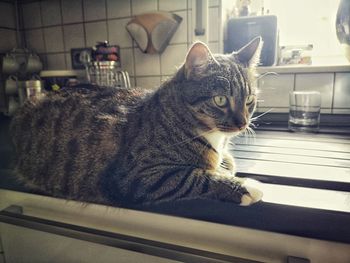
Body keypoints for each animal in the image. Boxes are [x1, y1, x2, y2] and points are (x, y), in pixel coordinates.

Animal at [10, 37, 262, 208]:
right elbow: (192, 177)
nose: (242, 123)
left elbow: (226, 162)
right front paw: (244, 186)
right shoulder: (138, 177)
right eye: (220, 100)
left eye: (249, 100)